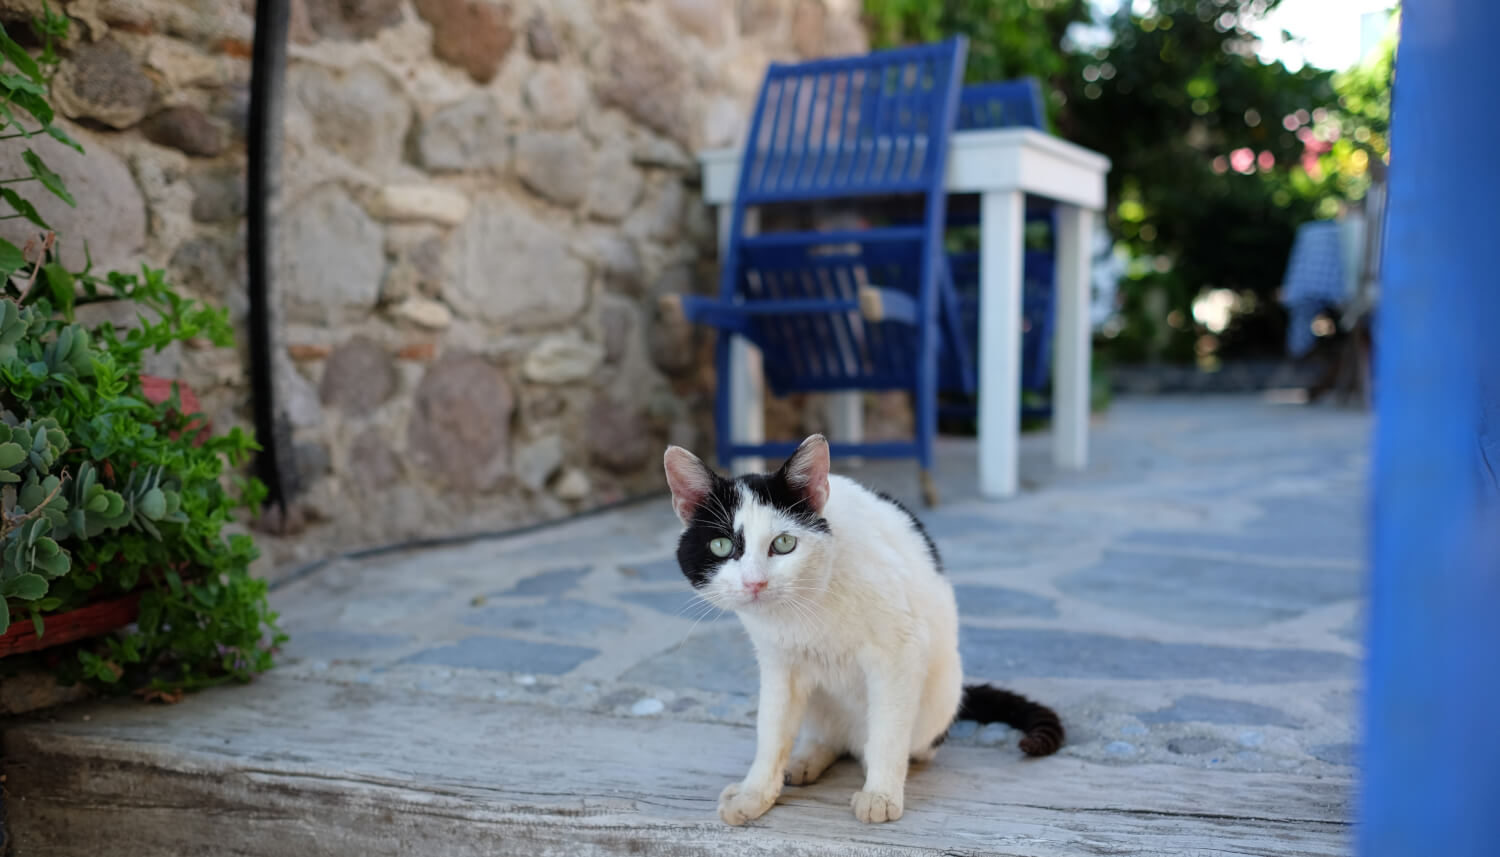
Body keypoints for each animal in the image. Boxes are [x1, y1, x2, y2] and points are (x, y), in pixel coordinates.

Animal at [663, 435, 1062, 822]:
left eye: (784, 543)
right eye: (721, 545)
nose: (754, 583)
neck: (807, 608)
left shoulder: (900, 651)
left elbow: (889, 730)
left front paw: (881, 794)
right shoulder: (778, 664)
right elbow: (772, 731)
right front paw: (754, 793)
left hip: (939, 696)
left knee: (906, 744)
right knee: (830, 738)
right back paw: (807, 759)